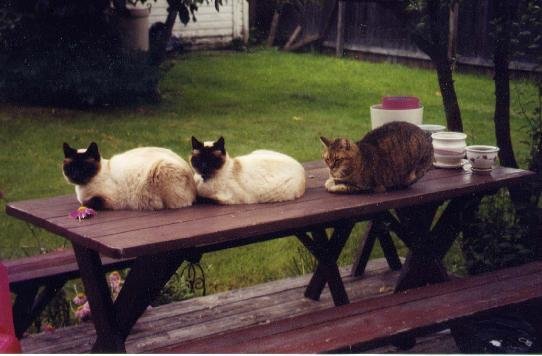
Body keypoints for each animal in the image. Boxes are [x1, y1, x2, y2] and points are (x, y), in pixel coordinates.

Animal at [63, 141, 198, 209]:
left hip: (159, 169)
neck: (82, 189)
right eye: (71, 168)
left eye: (84, 168)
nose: (75, 175)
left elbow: (85, 203)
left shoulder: (108, 200)